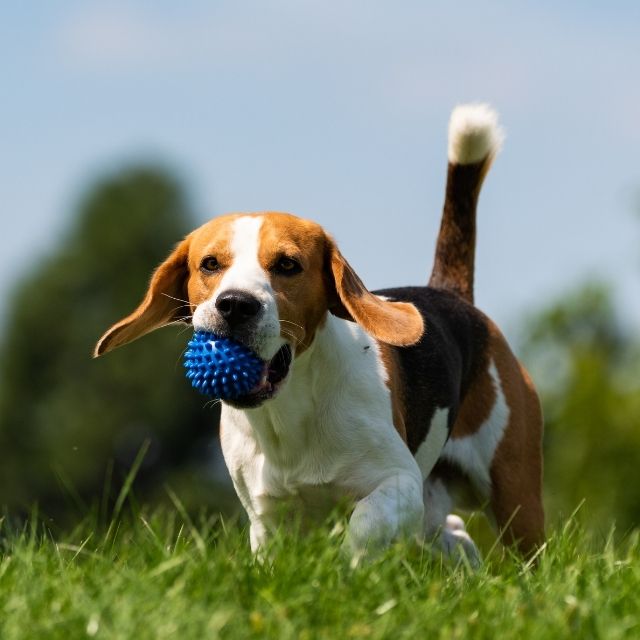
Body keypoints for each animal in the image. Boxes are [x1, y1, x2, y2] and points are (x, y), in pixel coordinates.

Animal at [95, 104, 544, 560]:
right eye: (210, 264)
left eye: (287, 265)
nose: (235, 304)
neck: (289, 412)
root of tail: (450, 294)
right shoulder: (266, 517)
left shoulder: (399, 482)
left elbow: (363, 525)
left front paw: (348, 565)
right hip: (438, 508)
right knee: (455, 532)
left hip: (513, 493)